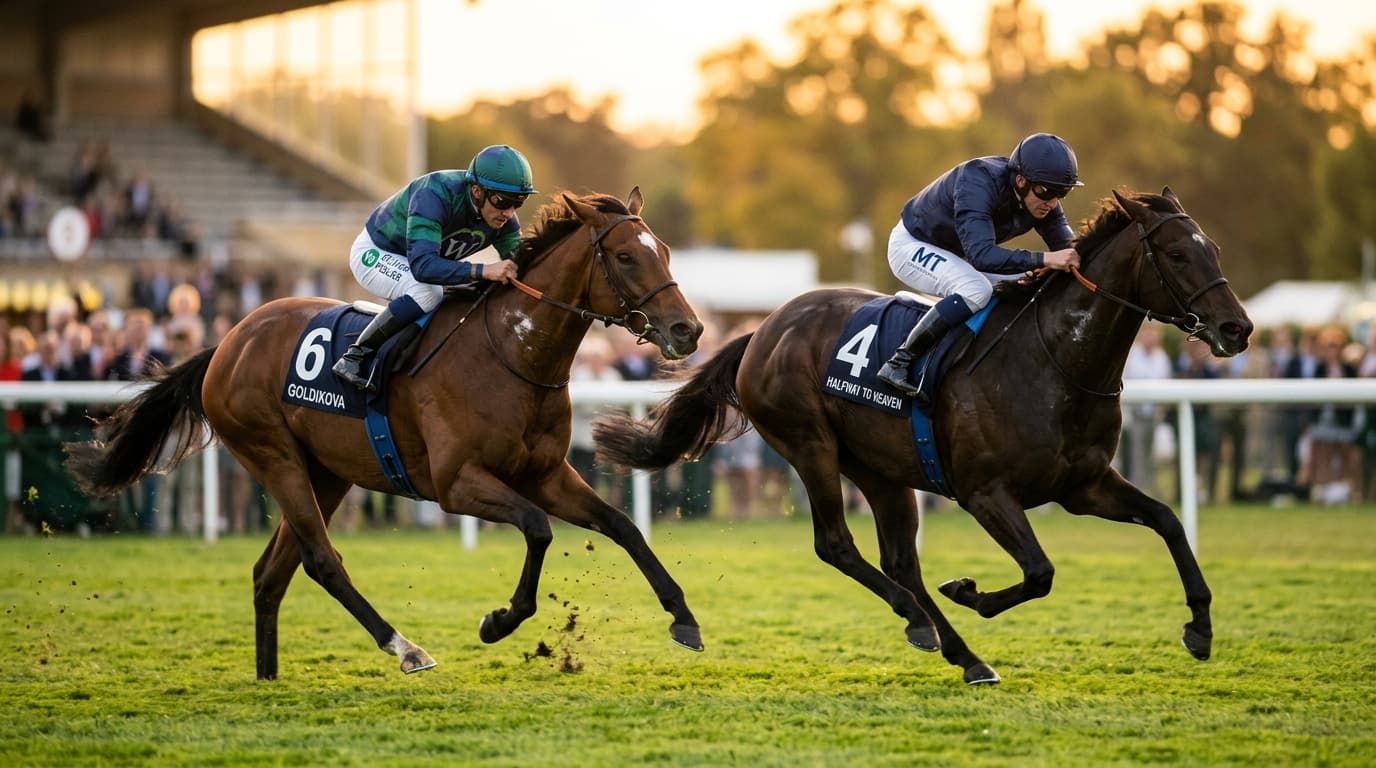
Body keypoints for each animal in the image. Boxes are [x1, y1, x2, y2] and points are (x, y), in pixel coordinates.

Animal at [65, 187, 707, 680]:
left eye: (665, 251)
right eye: (624, 257)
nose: (689, 330)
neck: (512, 353)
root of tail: (226, 342)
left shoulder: (546, 472)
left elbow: (622, 525)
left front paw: (684, 617)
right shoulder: (455, 483)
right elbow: (537, 528)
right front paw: (498, 622)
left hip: (326, 472)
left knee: (271, 574)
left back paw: (267, 676)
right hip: (273, 456)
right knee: (321, 561)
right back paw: (405, 648)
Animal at [594, 188, 1253, 685]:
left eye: (1215, 249)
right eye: (1176, 253)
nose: (1237, 329)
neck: (1055, 359)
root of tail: (761, 331)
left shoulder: (1083, 485)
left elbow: (1166, 519)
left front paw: (1199, 628)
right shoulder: (986, 493)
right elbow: (1040, 572)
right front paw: (970, 591)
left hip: (881, 470)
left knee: (899, 560)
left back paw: (953, 646)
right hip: (811, 446)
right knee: (837, 545)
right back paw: (925, 622)